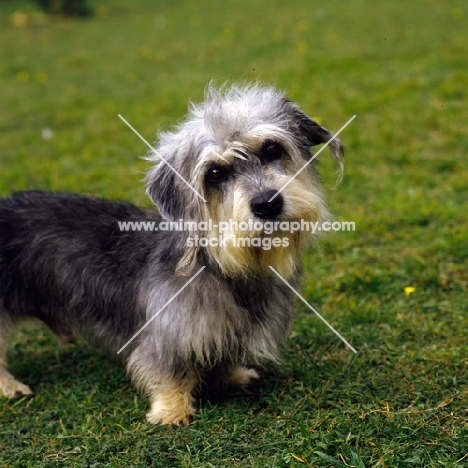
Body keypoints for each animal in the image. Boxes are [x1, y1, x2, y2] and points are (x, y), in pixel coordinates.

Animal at [0, 83, 344, 424]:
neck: (222, 266)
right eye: (214, 174)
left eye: (272, 149)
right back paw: (11, 387)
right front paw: (172, 409)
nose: (267, 203)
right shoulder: (164, 334)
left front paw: (231, 376)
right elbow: (169, 371)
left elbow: (223, 357)